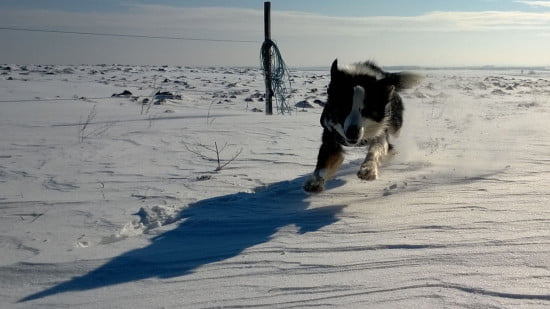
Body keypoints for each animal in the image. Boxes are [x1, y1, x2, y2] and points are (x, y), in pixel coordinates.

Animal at [306, 59, 422, 191]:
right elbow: (324, 161)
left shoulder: (382, 132)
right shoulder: (331, 136)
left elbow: (375, 149)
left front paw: (369, 169)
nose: (352, 133)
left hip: (396, 126)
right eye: (344, 108)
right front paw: (315, 181)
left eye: (366, 110)